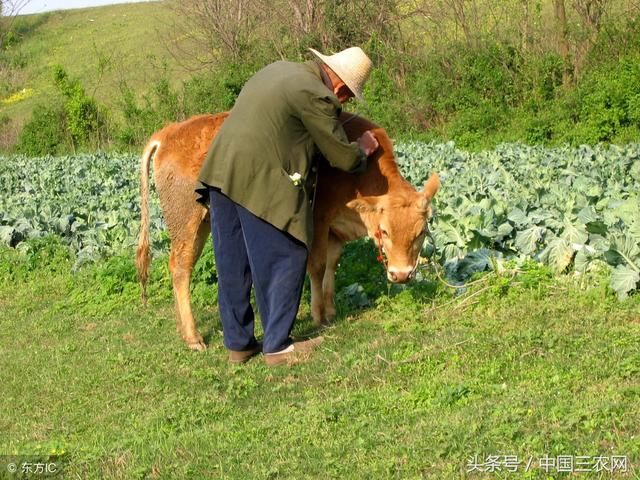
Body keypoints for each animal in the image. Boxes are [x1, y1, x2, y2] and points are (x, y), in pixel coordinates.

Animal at [138, 114, 440, 350]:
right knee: (181, 266)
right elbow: (317, 266)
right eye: (385, 231)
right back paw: (193, 336)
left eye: (420, 232)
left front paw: (330, 309)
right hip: (187, 219)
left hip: (202, 222)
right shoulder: (319, 219)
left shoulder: (336, 231)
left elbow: (332, 265)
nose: (401, 275)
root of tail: (171, 131)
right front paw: (318, 315)